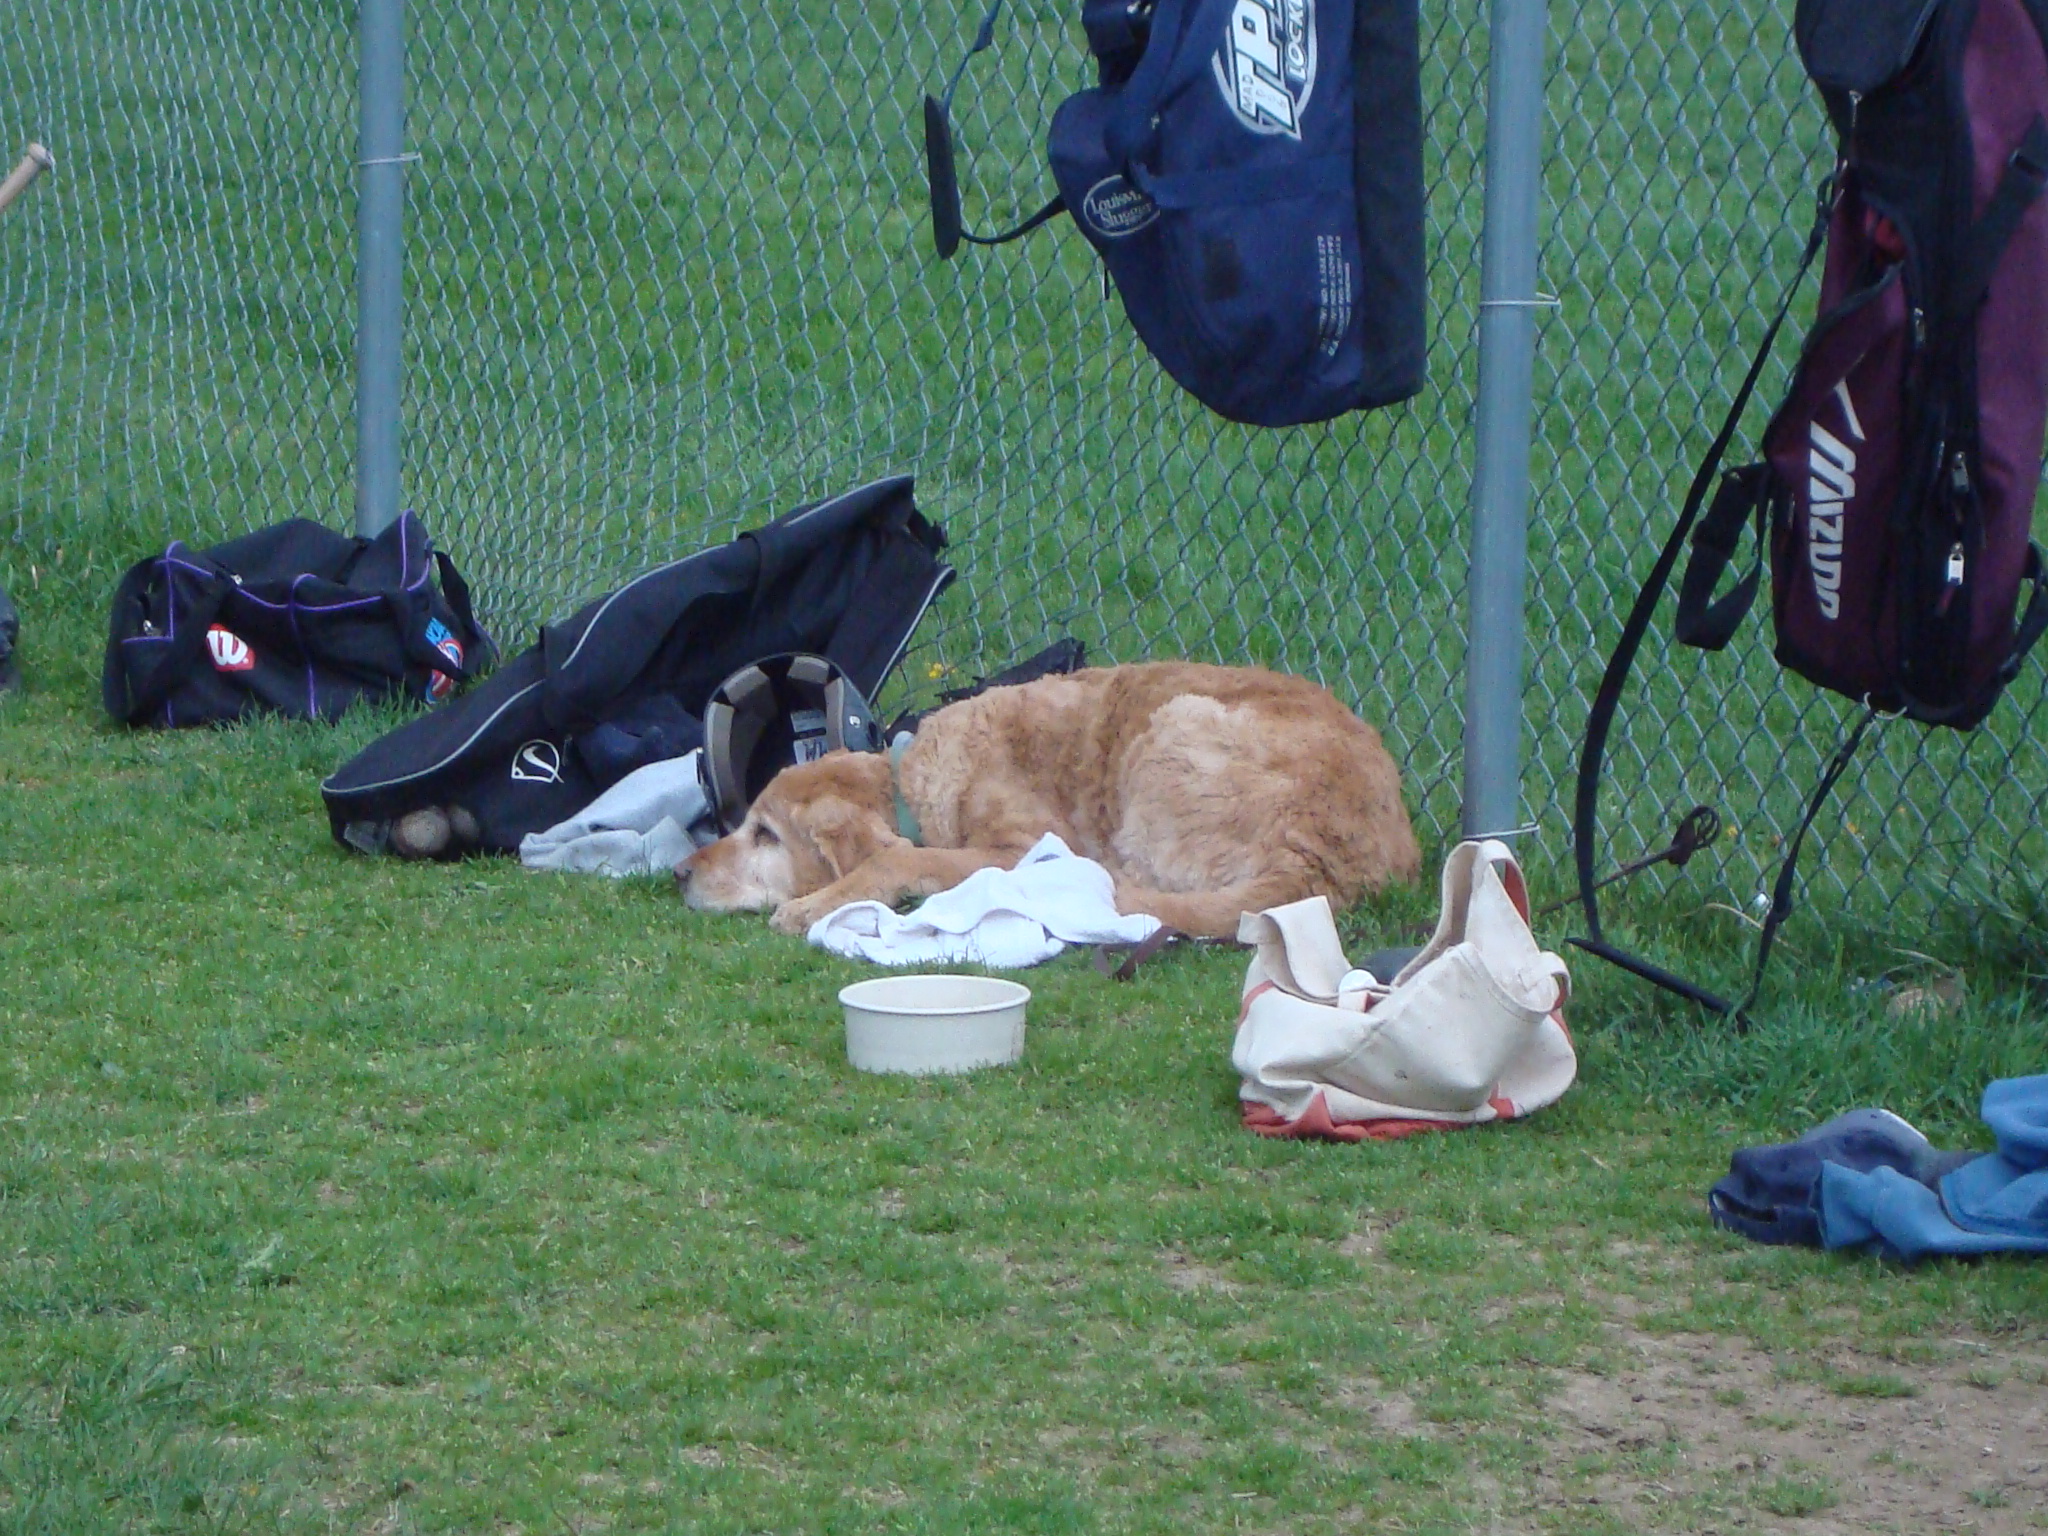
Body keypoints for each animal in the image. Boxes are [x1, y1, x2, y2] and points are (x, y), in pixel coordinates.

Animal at [679, 663, 1417, 937]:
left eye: (765, 836)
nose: (679, 873)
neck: (907, 780)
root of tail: (1319, 867)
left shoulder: (1013, 847)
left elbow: (897, 860)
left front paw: (817, 905)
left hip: (1174, 725)